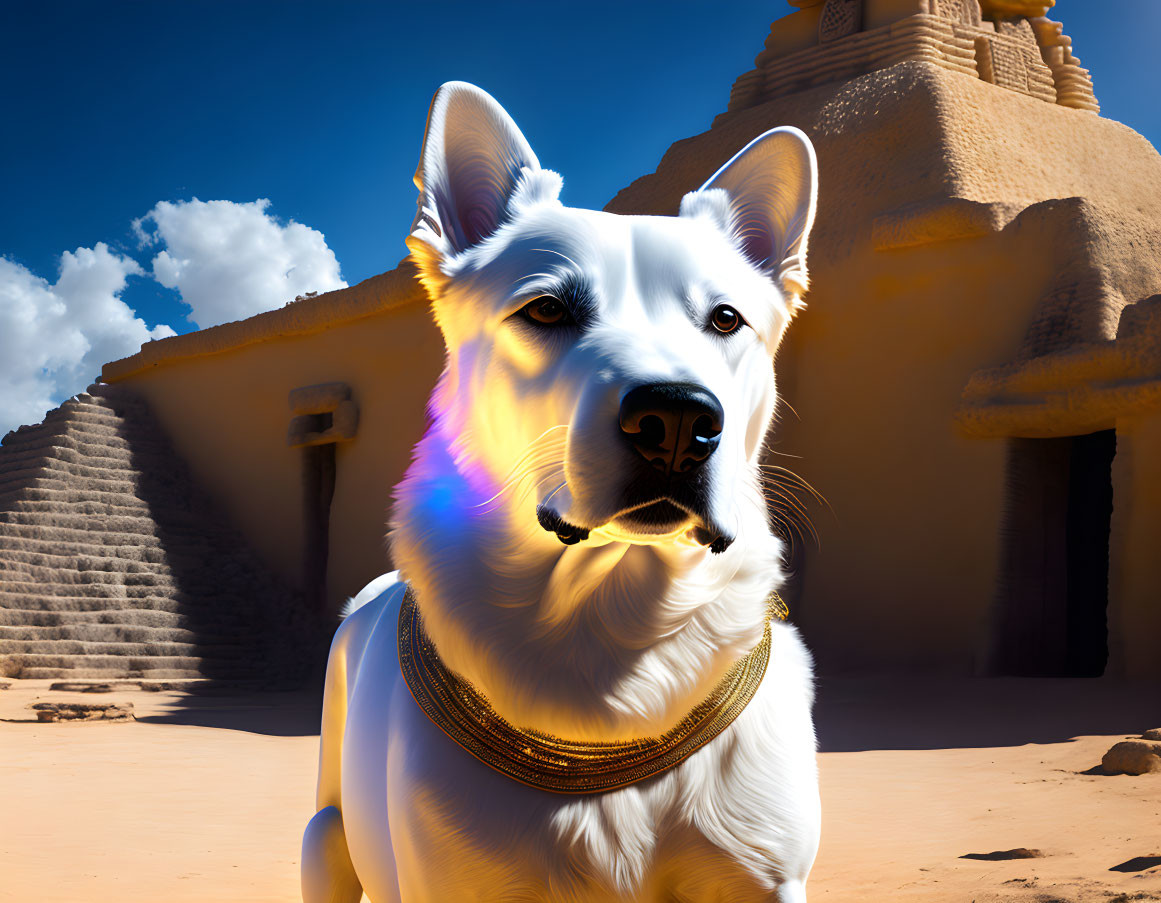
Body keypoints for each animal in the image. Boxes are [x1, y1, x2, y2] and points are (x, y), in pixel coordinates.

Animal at [304, 80, 821, 896]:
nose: (677, 419)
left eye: (725, 319)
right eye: (546, 308)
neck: (609, 632)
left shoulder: (765, 875)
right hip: (323, 839)